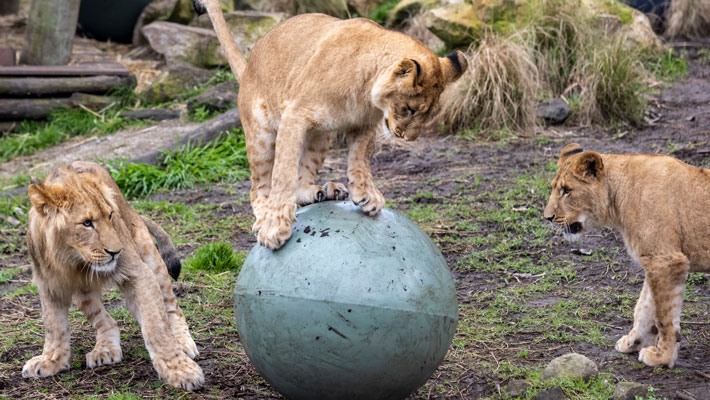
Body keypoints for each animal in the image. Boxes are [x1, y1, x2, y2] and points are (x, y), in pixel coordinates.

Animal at [23, 161, 204, 390]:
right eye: (87, 223)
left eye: (110, 216)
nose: (116, 252)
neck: (73, 260)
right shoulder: (50, 285)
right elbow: (54, 327)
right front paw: (50, 361)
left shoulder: (138, 273)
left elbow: (156, 326)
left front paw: (181, 370)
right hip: (82, 293)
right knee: (106, 321)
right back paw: (105, 349)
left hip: (149, 255)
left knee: (170, 307)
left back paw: (181, 341)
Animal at [194, 0, 467, 249]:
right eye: (410, 110)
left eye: (428, 113)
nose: (409, 138)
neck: (365, 92)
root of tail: (249, 66)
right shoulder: (295, 116)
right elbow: (283, 174)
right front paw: (274, 227)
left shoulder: (365, 124)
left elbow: (360, 160)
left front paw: (366, 195)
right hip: (261, 135)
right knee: (259, 186)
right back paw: (264, 216)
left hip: (320, 137)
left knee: (301, 179)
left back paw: (325, 191)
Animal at [544, 143, 710, 368]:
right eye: (554, 188)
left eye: (567, 190)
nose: (547, 217)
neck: (618, 198)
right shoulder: (653, 260)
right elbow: (644, 307)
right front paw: (633, 342)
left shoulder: (666, 261)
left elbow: (664, 317)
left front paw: (663, 357)